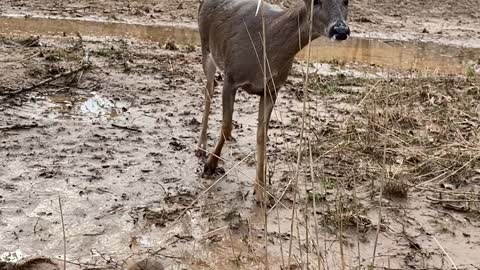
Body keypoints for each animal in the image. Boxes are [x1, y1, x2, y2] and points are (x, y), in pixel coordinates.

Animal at [195, 0, 348, 202]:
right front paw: (210, 164)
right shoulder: (231, 76)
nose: (340, 29)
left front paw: (261, 191)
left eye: (346, 1)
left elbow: (261, 136)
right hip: (207, 48)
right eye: (316, 2)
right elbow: (226, 127)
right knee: (208, 92)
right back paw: (201, 146)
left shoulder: (272, 90)